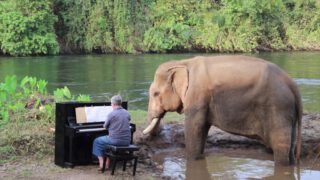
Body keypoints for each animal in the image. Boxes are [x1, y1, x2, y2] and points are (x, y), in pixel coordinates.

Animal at [144, 55, 302, 166]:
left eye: (156, 94)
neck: (184, 62)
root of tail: (292, 84)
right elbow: (202, 129)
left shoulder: (197, 96)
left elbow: (194, 128)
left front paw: (191, 160)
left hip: (278, 108)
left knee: (280, 146)